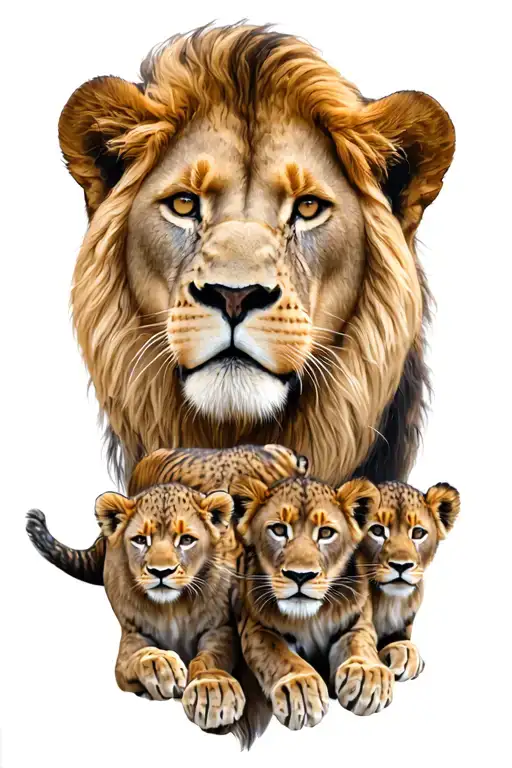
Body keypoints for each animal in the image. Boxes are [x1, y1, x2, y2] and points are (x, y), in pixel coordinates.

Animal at [231, 474, 394, 728]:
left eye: (326, 533)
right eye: (279, 529)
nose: (300, 575)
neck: (311, 618)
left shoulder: (357, 623)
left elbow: (361, 644)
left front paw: (368, 676)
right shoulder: (256, 628)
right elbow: (279, 655)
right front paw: (300, 689)